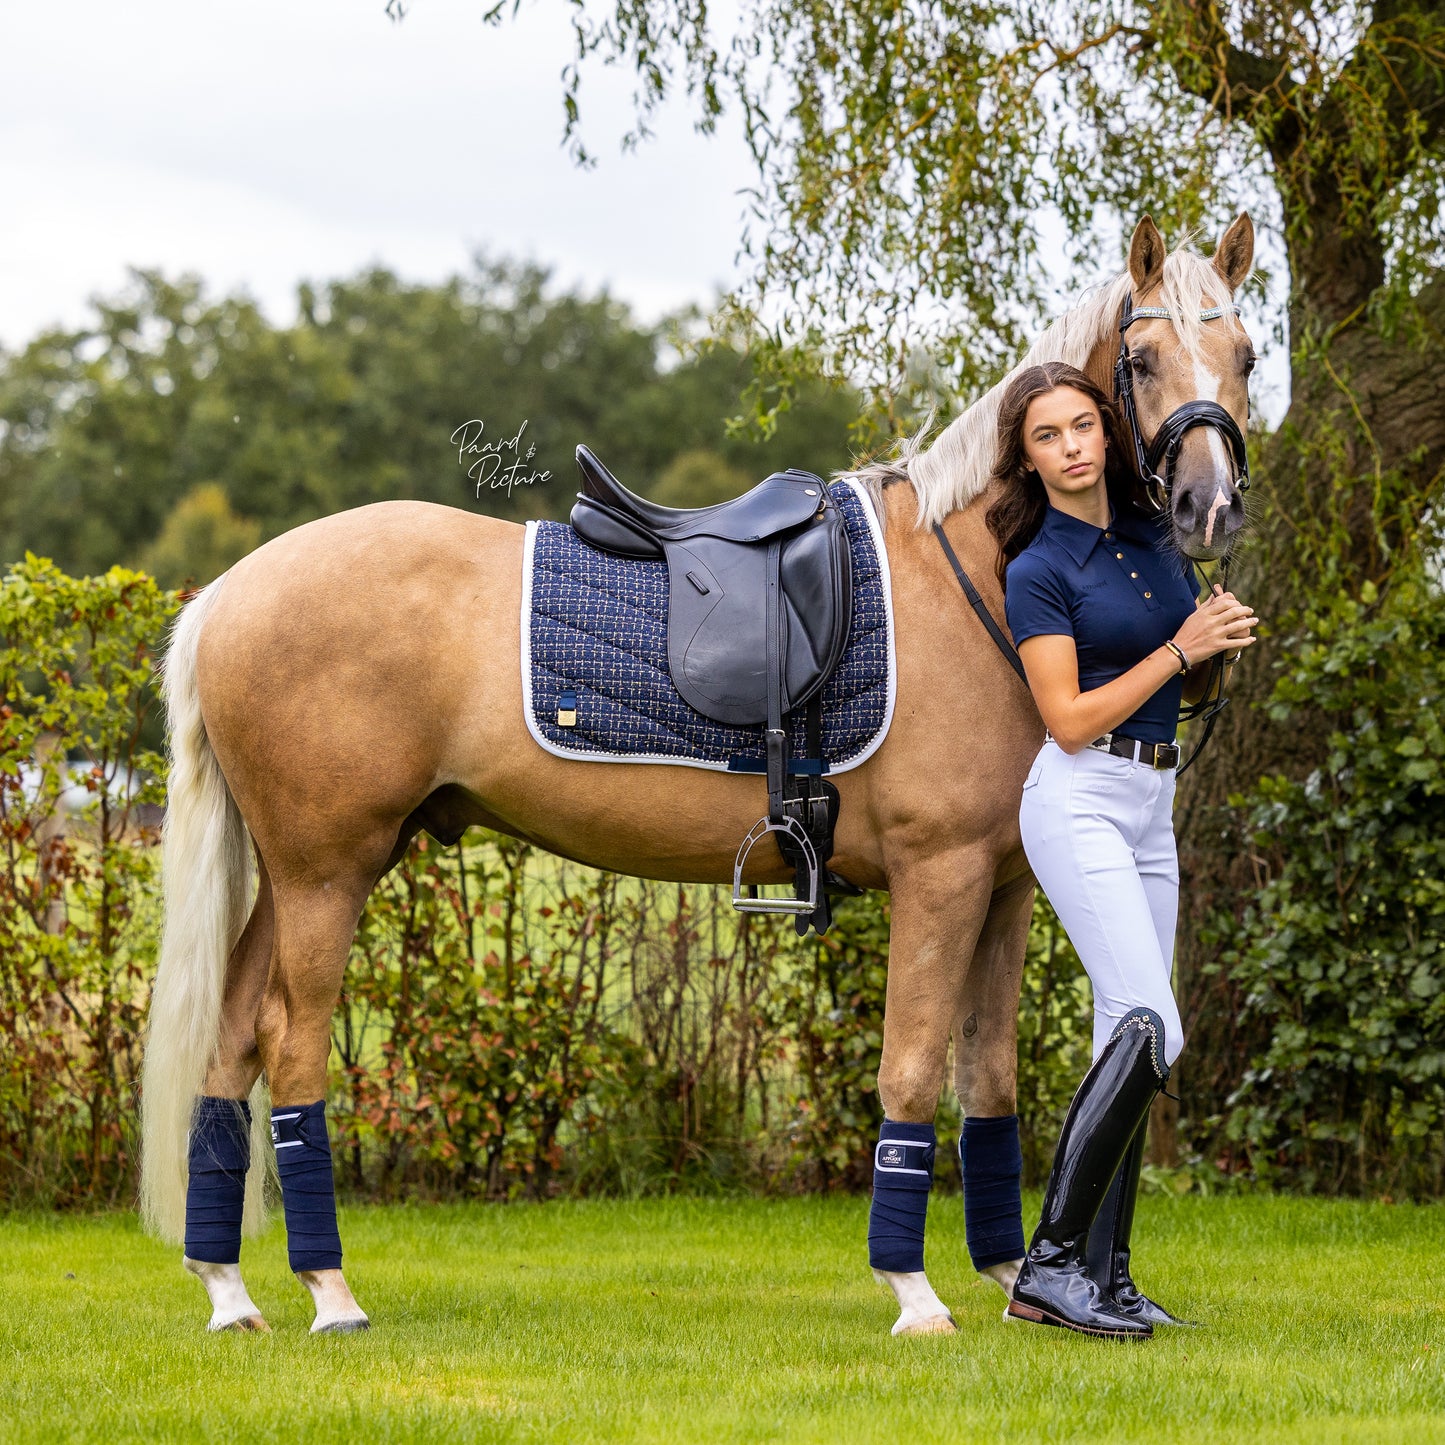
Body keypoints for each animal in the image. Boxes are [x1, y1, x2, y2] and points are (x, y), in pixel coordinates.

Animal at [140, 210, 1260, 1329]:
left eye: (1247, 355)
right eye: (1141, 359)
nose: (1206, 507)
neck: (976, 578)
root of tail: (229, 590)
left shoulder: (1004, 889)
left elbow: (987, 1083)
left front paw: (1012, 1275)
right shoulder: (936, 877)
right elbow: (908, 1072)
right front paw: (913, 1291)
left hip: (295, 873)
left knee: (231, 1041)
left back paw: (229, 1289)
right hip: (326, 872)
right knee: (289, 1045)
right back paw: (328, 1290)